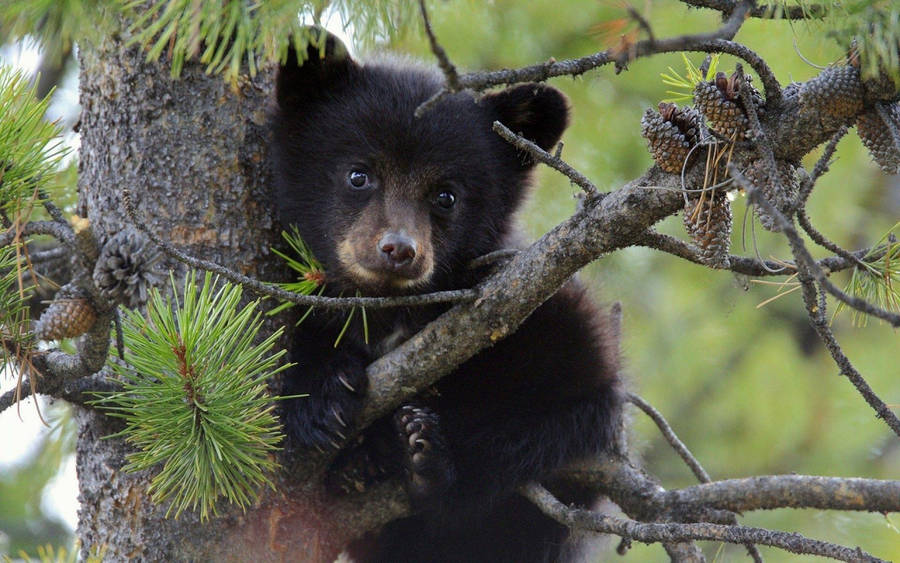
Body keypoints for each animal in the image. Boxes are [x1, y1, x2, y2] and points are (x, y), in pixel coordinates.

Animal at [270, 29, 623, 563]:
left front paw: (424, 453)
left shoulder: (545, 308)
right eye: (358, 174)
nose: (399, 249)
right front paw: (321, 394)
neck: (391, 311)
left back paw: (424, 460)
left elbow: (574, 404)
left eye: (446, 195)